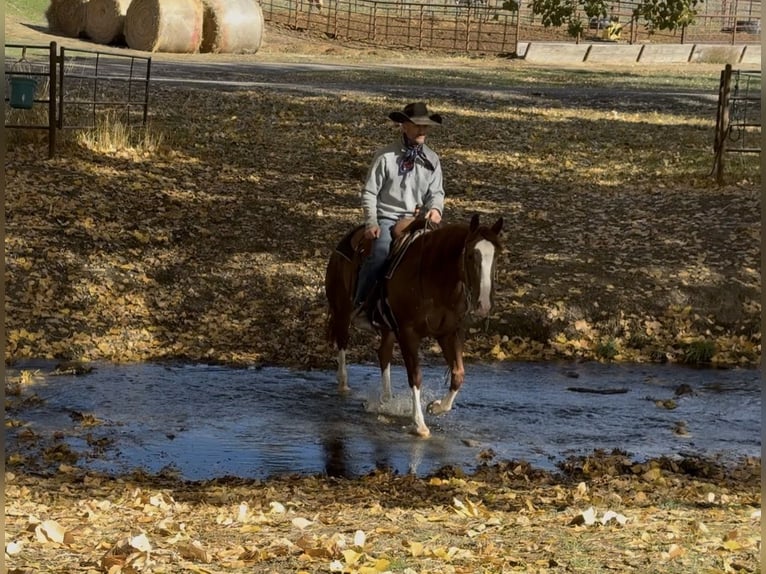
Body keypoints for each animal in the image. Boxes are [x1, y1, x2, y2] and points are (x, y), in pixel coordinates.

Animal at [325, 213, 504, 437]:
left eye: (496, 255)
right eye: (471, 255)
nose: (484, 305)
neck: (435, 280)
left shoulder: (449, 333)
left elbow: (458, 374)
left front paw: (436, 407)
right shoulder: (408, 333)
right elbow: (415, 376)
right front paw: (419, 424)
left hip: (388, 328)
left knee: (383, 353)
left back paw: (387, 400)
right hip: (342, 311)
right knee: (343, 341)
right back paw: (343, 384)